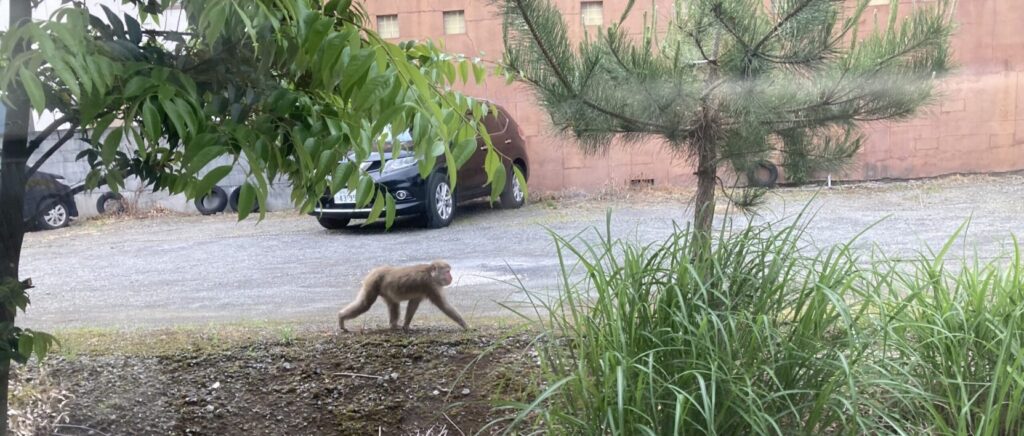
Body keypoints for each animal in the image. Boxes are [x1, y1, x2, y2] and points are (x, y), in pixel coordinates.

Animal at [338, 260, 468, 332]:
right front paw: (465, 325)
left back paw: (393, 325)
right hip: (372, 282)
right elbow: (444, 306)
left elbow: (413, 304)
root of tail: (375, 270)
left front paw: (406, 326)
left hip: (385, 289)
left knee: (393, 304)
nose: (451, 277)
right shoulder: (431, 285)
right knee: (365, 304)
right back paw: (341, 317)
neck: (430, 274)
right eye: (447, 272)